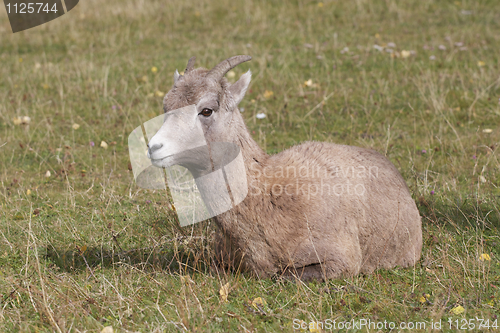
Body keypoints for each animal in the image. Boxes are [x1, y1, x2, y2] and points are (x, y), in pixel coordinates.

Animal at [148, 55, 422, 280]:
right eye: (166, 107)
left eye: (206, 110)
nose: (153, 147)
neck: (269, 193)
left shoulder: (341, 261)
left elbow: (282, 276)